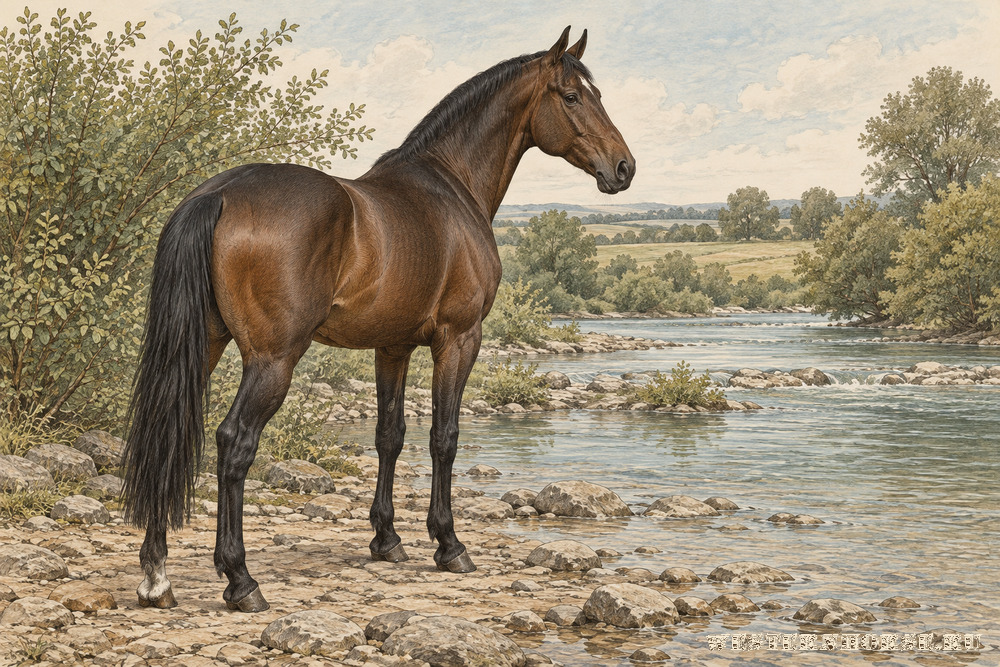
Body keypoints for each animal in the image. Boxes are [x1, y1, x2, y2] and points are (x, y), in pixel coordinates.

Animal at [121, 26, 634, 613]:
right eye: (571, 96)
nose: (624, 167)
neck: (452, 187)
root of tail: (219, 194)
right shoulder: (459, 339)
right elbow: (444, 436)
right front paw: (448, 544)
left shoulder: (393, 347)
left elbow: (389, 435)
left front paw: (386, 539)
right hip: (272, 360)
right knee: (234, 442)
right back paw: (240, 580)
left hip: (204, 346)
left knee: (167, 431)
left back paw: (156, 575)